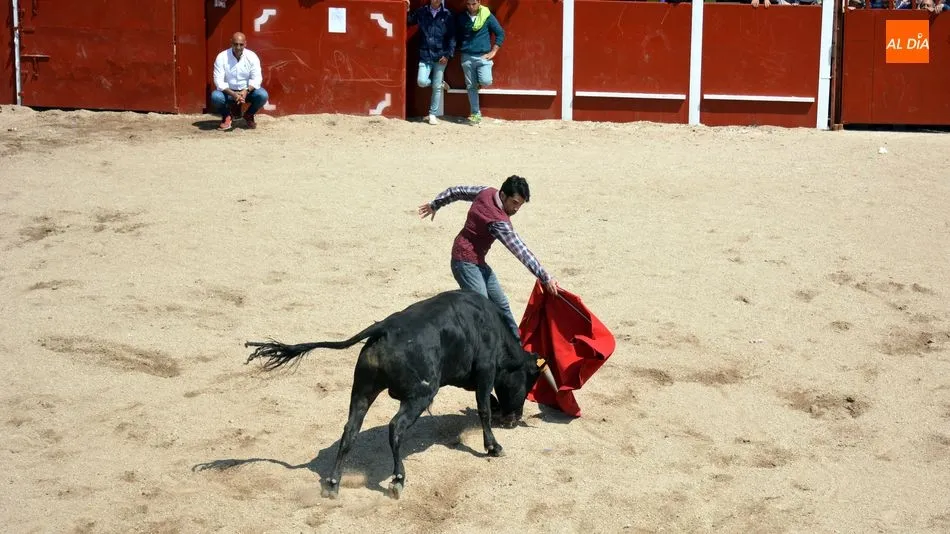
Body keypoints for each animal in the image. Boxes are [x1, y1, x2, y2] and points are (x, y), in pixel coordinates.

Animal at [244, 289, 545, 499]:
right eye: (531, 380)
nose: (514, 419)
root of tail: (384, 328)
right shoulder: (485, 371)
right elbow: (483, 408)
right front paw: (494, 447)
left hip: (362, 390)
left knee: (350, 430)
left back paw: (332, 484)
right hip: (420, 394)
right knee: (395, 427)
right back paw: (398, 479)